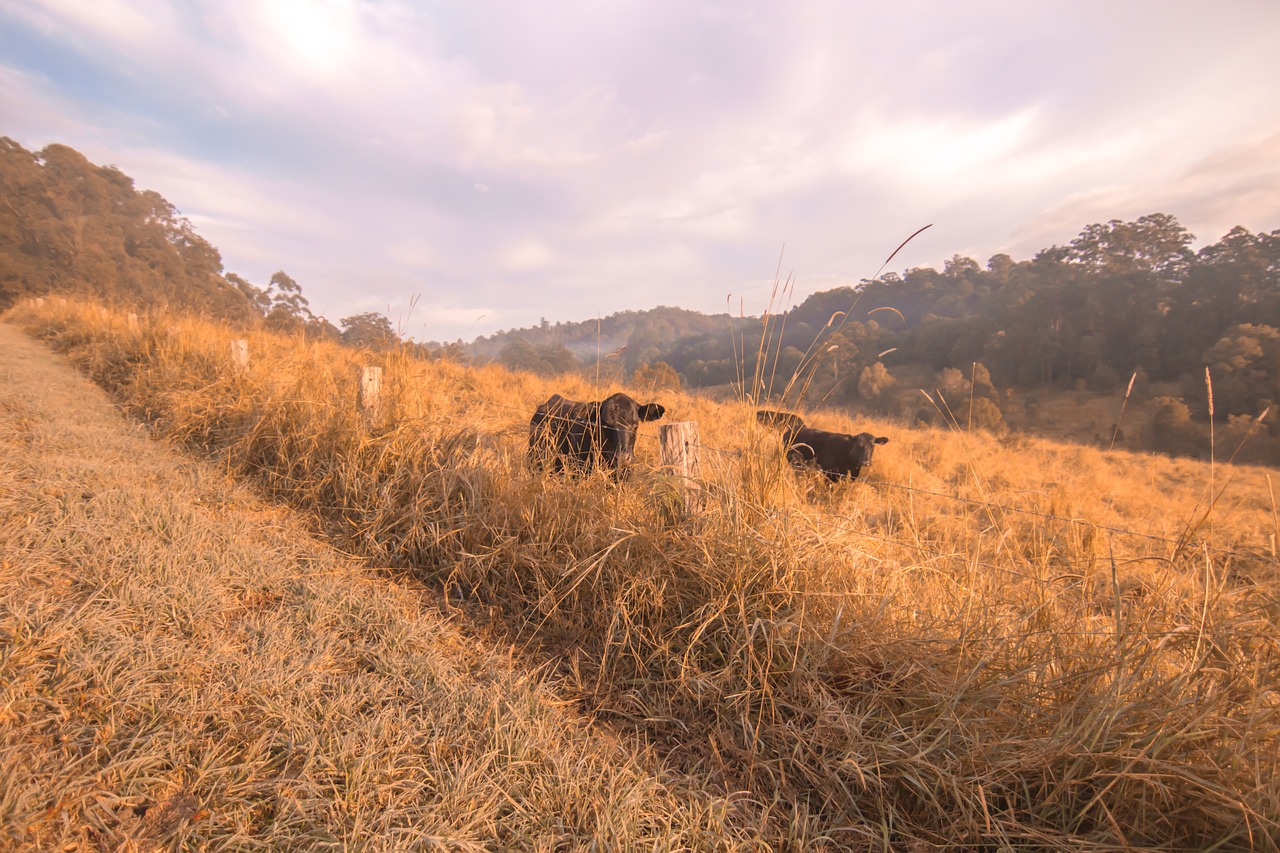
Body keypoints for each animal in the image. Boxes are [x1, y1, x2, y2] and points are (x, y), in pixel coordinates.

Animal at [747, 409, 890, 481]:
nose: (866, 462)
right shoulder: (829, 472)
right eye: (859, 445)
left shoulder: (852, 474)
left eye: (873, 446)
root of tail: (800, 427)